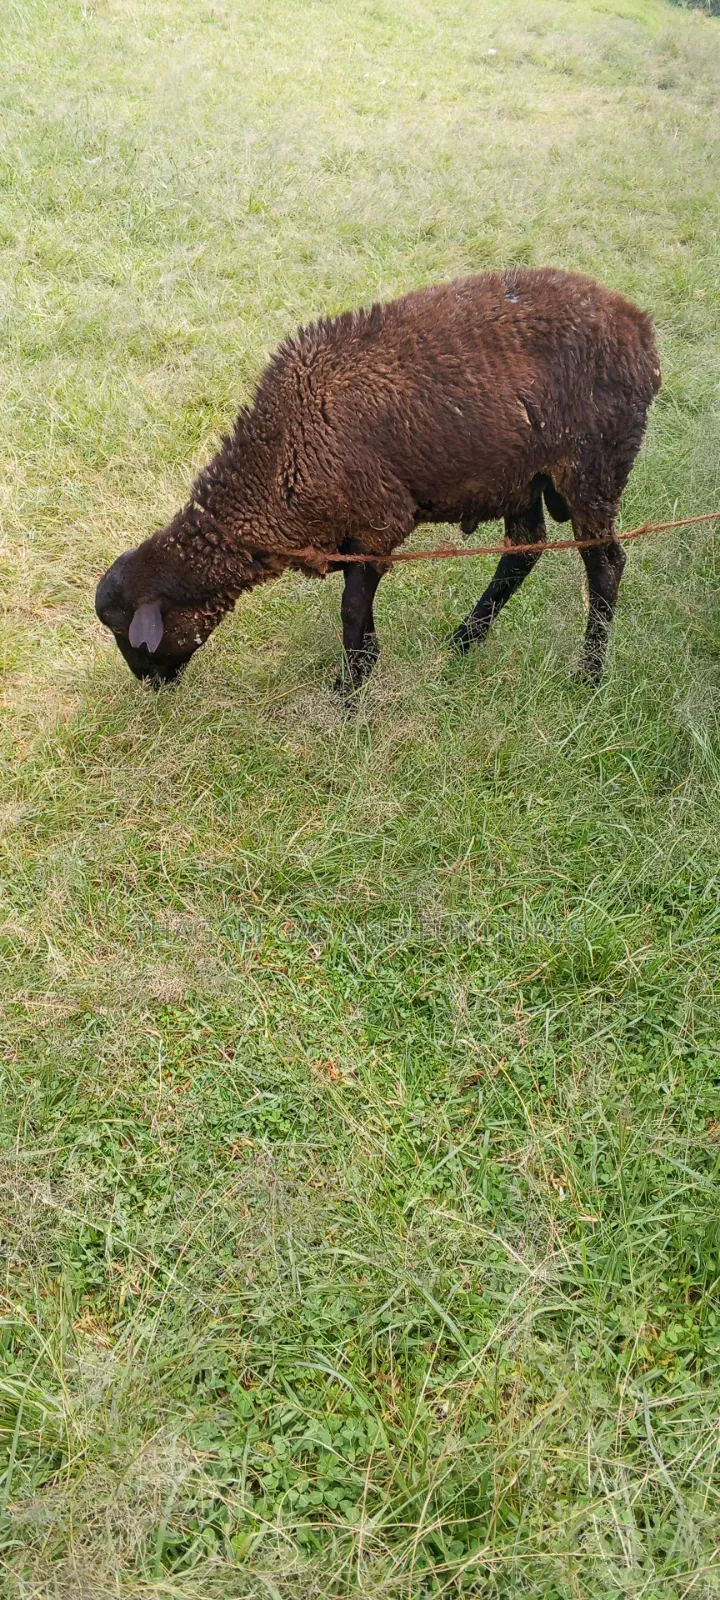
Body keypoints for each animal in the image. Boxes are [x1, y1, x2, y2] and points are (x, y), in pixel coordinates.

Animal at [95, 267, 661, 693]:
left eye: (127, 632)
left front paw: (348, 691)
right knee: (524, 549)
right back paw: (464, 639)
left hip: (593, 466)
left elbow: (350, 607)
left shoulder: (379, 519)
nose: (150, 687)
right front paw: (365, 664)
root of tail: (642, 333)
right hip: (521, 473)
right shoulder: (352, 531)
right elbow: (357, 604)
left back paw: (589, 673)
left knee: (605, 565)